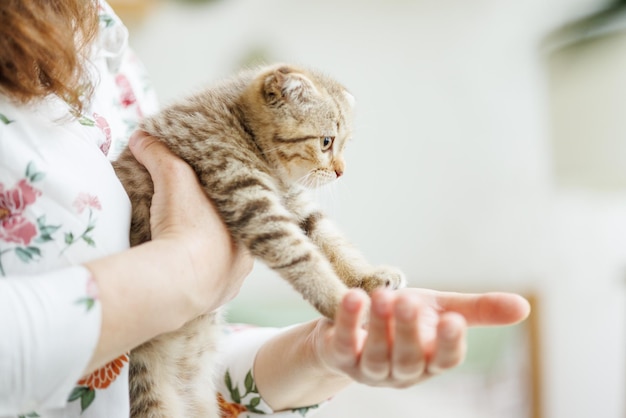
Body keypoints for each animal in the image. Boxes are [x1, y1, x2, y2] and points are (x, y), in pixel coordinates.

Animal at [112, 62, 404, 418]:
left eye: (344, 144)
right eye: (326, 142)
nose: (340, 171)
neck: (241, 126)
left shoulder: (295, 204)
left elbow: (332, 241)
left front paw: (367, 277)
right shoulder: (250, 201)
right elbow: (301, 257)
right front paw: (339, 304)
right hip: (150, 394)